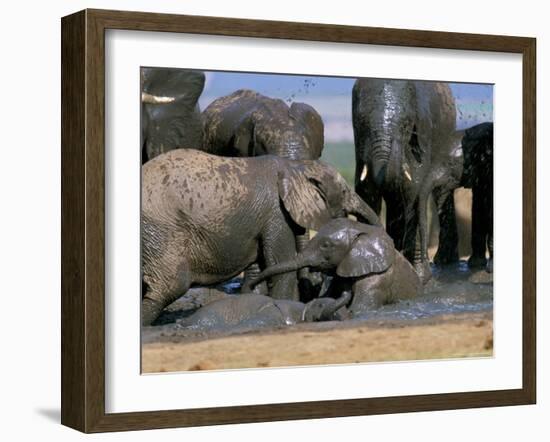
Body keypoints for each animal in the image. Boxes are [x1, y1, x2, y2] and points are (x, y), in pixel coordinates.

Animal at [142, 148, 382, 324]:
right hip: (162, 230)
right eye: (344, 192)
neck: (295, 167)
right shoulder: (276, 213)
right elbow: (281, 265)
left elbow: (258, 269)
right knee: (171, 285)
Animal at [354, 77, 466, 282]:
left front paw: (420, 277)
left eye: (406, 125)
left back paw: (443, 262)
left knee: (440, 192)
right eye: (362, 123)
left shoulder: (422, 133)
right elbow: (366, 192)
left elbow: (414, 190)